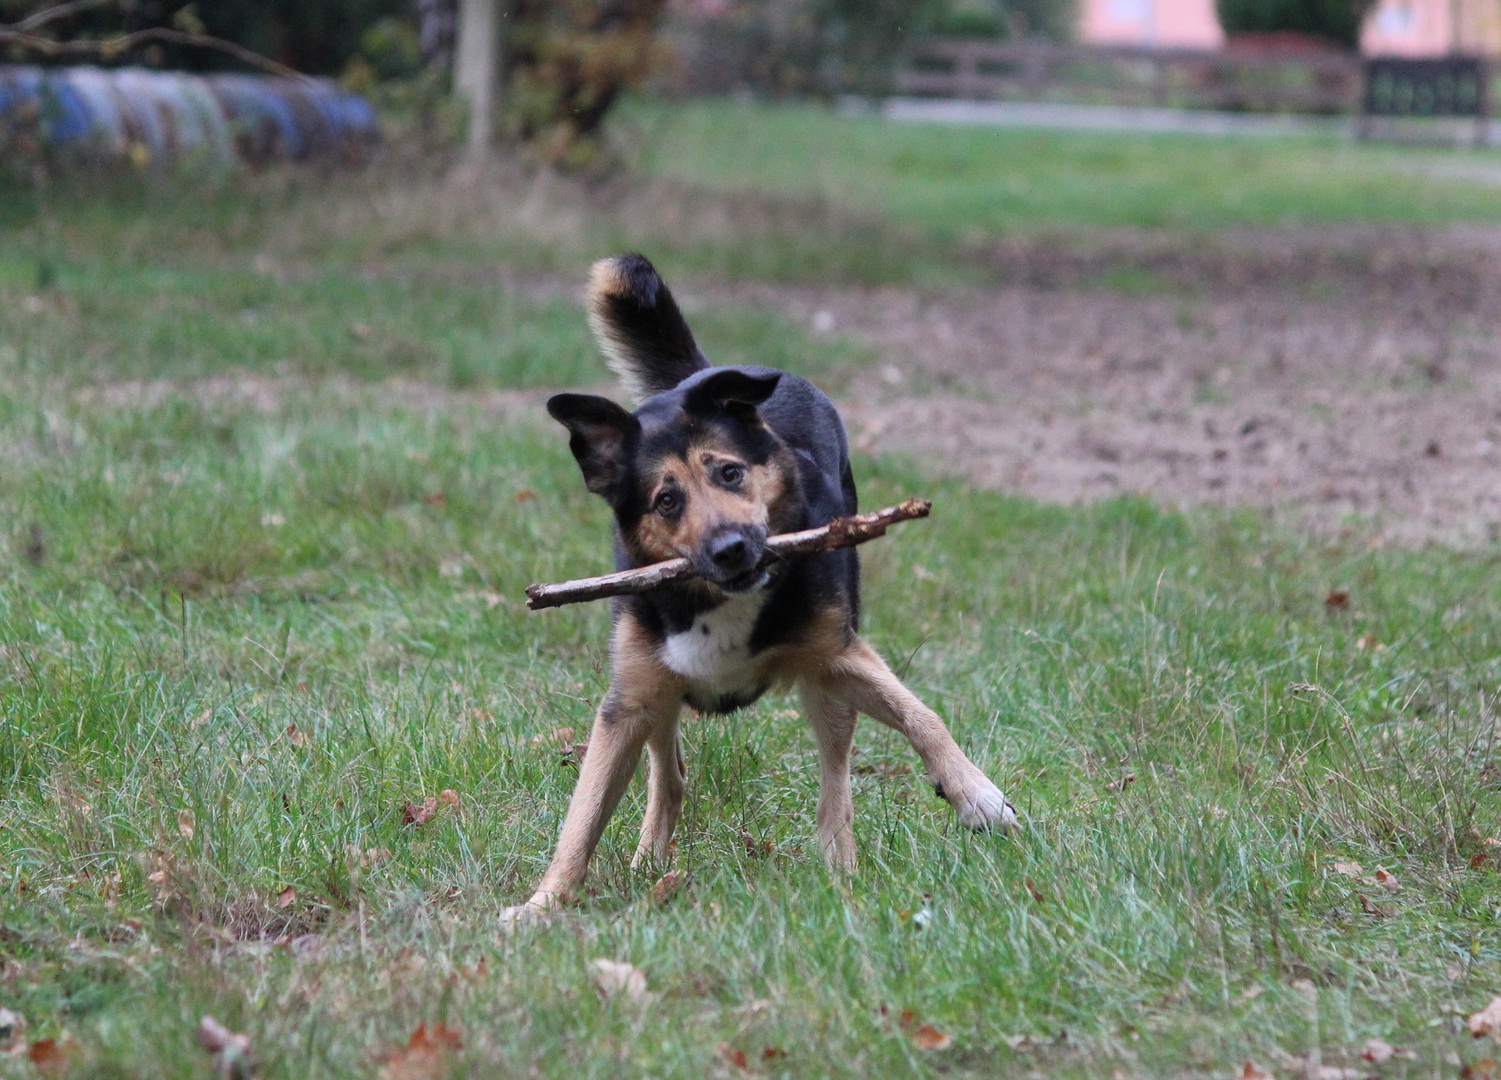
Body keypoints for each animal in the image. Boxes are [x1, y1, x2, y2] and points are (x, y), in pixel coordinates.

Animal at [504, 253, 1020, 918]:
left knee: (834, 777)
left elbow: (923, 717)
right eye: (666, 500)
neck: (719, 600)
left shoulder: (837, 655)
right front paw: (543, 905)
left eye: (730, 473)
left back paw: (840, 867)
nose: (731, 549)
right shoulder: (629, 700)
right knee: (669, 774)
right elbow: (583, 815)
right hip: (657, 687)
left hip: (826, 681)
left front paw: (978, 796)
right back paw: (651, 861)